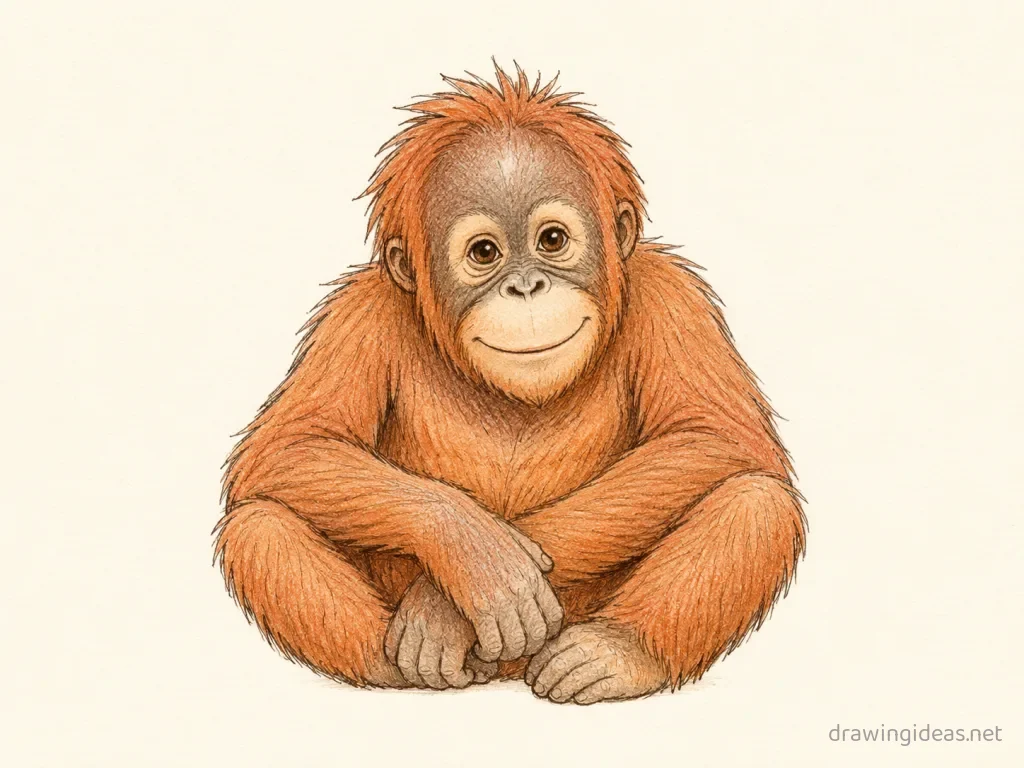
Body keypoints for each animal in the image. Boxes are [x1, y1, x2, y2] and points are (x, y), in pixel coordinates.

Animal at [214, 63, 806, 705]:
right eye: (484, 252)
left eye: (552, 240)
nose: (526, 287)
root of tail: (507, 672)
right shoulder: (357, 318)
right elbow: (290, 448)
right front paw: (476, 555)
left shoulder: (673, 299)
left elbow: (713, 437)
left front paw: (442, 608)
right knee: (258, 523)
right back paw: (387, 663)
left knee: (757, 500)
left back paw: (611, 655)